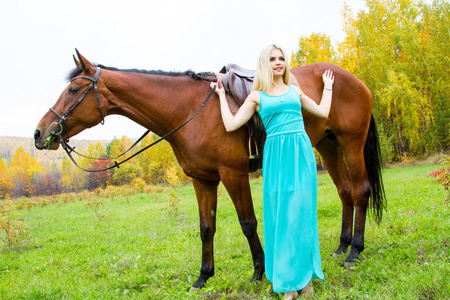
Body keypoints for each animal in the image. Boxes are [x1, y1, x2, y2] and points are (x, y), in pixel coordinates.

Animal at [36, 50, 386, 290]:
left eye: (72, 90)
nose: (40, 133)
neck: (190, 110)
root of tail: (356, 80)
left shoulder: (233, 174)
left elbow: (247, 223)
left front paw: (259, 273)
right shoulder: (203, 181)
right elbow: (207, 228)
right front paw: (203, 277)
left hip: (351, 145)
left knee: (360, 191)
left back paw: (355, 251)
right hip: (328, 146)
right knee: (345, 193)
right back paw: (342, 247)